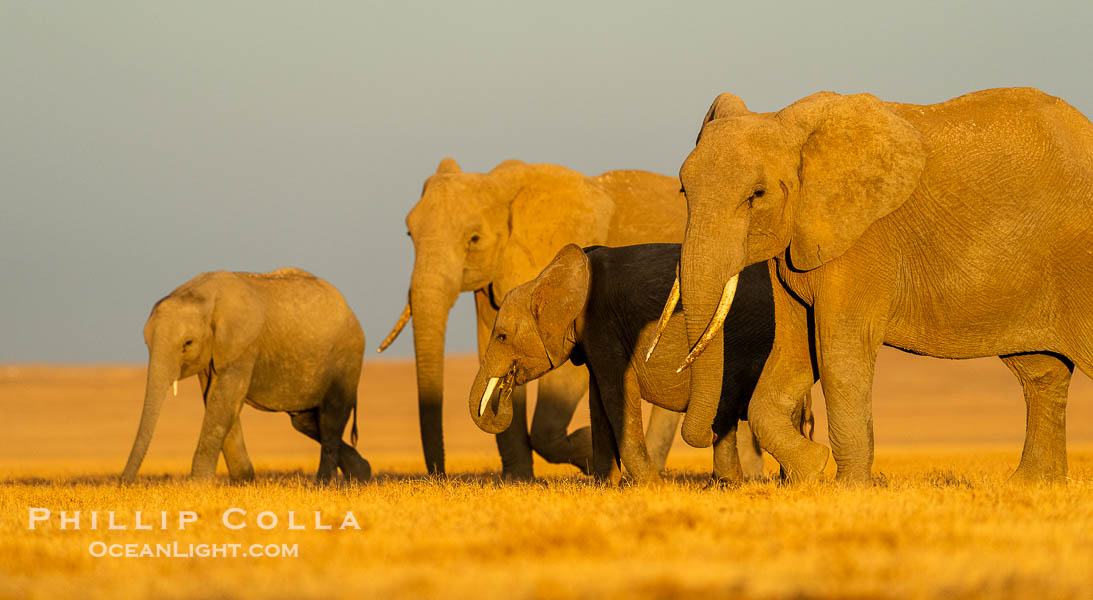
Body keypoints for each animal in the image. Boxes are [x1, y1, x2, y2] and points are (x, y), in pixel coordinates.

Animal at [121, 268, 371, 485]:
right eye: (146, 342)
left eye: (187, 344)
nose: (123, 483)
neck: (202, 296)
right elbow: (215, 399)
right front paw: (243, 483)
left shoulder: (243, 344)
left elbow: (225, 399)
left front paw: (197, 486)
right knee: (305, 422)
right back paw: (361, 475)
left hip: (346, 357)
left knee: (330, 419)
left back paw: (324, 485)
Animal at [380, 157, 695, 476]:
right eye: (409, 235)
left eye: (474, 239)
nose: (439, 474)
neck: (503, 186)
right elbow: (488, 343)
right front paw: (518, 480)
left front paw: (587, 451)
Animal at [467, 243, 813, 480]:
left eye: (501, 337)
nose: (507, 385)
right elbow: (599, 402)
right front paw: (606, 485)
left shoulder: (603, 322)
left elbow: (616, 394)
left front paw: (650, 485)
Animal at [660, 87, 1093, 480]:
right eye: (682, 191)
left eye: (757, 194)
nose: (708, 431)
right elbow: (795, 348)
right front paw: (810, 470)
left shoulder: (864, 242)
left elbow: (839, 349)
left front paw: (848, 486)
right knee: (1041, 374)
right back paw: (1032, 483)